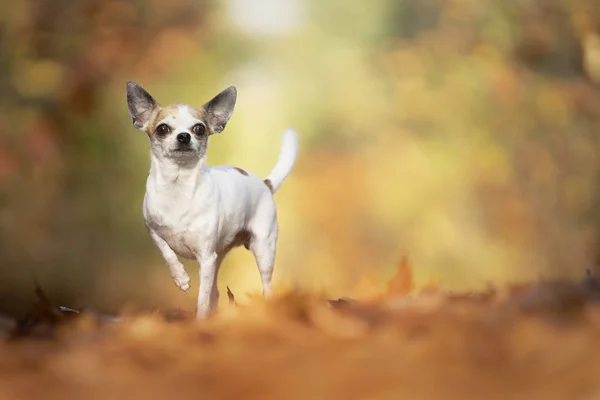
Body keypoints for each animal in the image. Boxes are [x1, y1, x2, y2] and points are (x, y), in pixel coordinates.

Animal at [125, 82, 298, 318]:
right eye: (163, 129)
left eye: (199, 129)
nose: (184, 136)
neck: (178, 186)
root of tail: (265, 184)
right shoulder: (153, 229)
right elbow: (167, 251)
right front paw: (180, 277)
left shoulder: (206, 258)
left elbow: (202, 298)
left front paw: (199, 320)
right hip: (220, 255)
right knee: (215, 291)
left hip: (263, 249)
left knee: (265, 285)